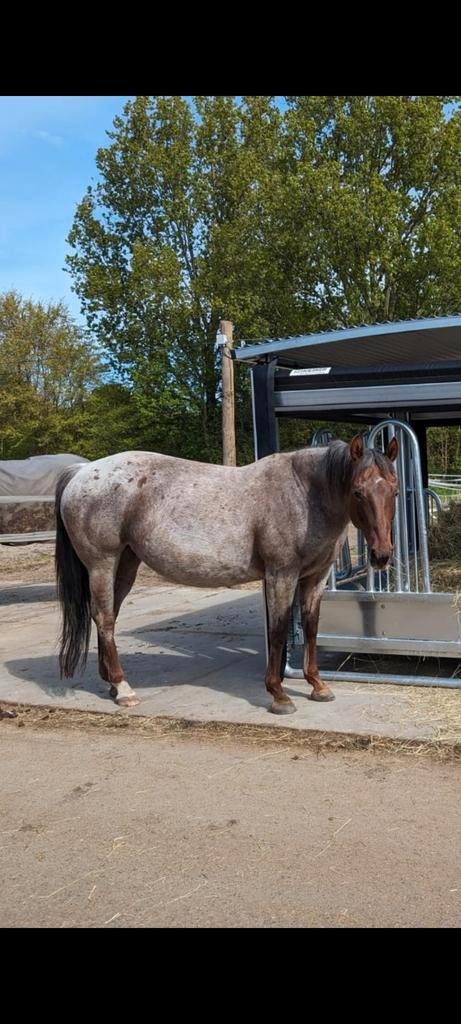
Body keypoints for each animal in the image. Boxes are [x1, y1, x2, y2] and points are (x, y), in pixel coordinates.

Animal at [55, 433, 399, 714]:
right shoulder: (280, 576)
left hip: (125, 564)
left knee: (107, 617)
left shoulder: (315, 578)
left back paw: (111, 685)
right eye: (357, 492)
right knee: (104, 618)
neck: (303, 494)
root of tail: (82, 472)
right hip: (102, 564)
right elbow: (277, 630)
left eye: (394, 492)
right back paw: (123, 688)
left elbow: (312, 628)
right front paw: (279, 695)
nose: (381, 555)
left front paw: (318, 685)